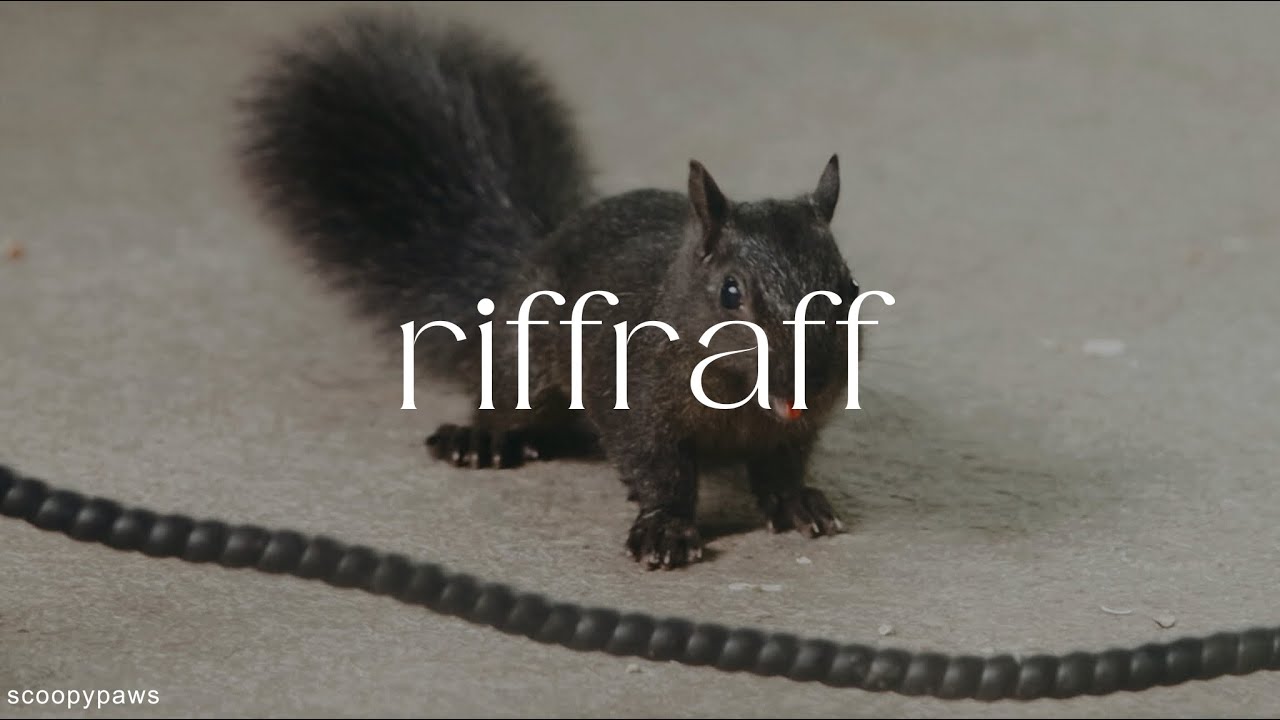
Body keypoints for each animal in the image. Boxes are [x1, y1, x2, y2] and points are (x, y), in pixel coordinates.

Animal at [235, 9, 867, 570]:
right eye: (730, 293)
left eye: (850, 286)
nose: (809, 381)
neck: (739, 397)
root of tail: (535, 250)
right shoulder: (630, 393)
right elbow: (658, 467)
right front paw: (665, 528)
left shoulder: (797, 427)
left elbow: (782, 464)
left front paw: (796, 501)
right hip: (522, 353)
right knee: (508, 398)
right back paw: (482, 439)